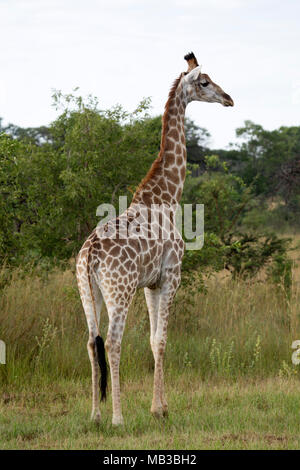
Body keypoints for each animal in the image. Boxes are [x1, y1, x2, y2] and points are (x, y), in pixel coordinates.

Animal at [76, 51, 233, 426]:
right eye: (205, 81)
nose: (228, 98)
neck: (166, 197)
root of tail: (90, 254)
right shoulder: (171, 275)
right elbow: (161, 340)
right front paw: (160, 409)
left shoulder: (150, 283)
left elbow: (151, 340)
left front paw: (157, 406)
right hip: (119, 290)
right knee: (112, 342)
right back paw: (117, 418)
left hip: (88, 291)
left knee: (90, 341)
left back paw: (95, 416)